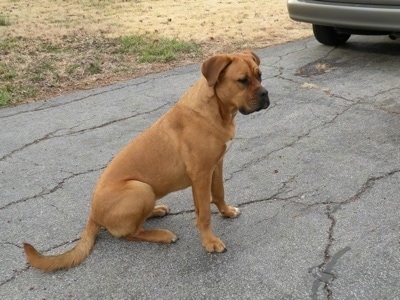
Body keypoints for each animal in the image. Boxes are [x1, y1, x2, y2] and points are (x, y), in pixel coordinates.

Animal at [23, 50, 270, 270]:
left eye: (260, 75)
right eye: (242, 81)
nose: (266, 94)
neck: (217, 110)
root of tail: (92, 215)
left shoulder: (216, 166)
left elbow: (218, 194)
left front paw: (227, 212)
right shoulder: (200, 176)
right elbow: (204, 214)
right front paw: (210, 242)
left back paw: (157, 210)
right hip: (139, 188)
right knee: (130, 233)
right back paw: (162, 235)